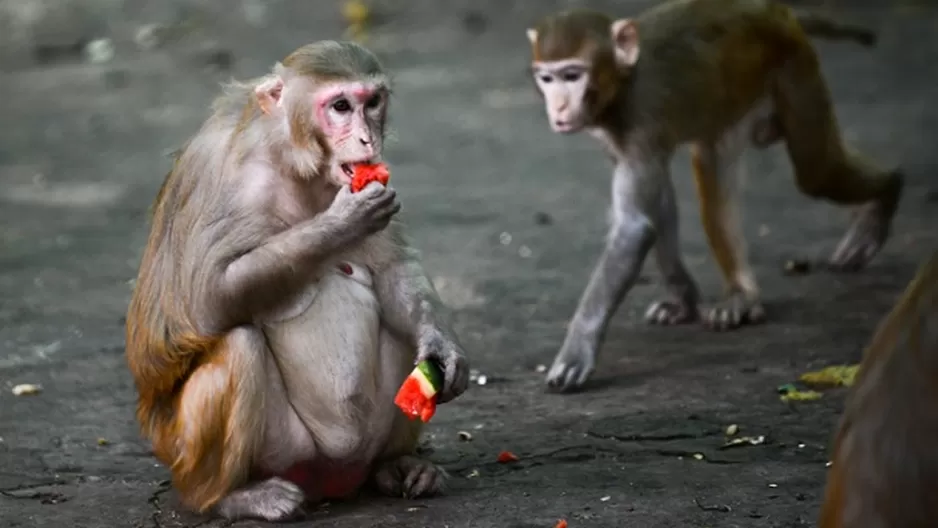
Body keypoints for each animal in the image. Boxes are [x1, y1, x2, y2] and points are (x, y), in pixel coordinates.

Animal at [124, 40, 472, 520]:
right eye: (340, 106)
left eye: (372, 102)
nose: (368, 139)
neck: (292, 160)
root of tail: (334, 481)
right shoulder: (222, 175)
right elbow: (206, 300)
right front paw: (342, 224)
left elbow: (394, 269)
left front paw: (443, 346)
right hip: (259, 452)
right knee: (239, 344)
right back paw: (230, 498)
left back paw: (396, 466)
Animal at [524, 0, 904, 390]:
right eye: (547, 78)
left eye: (572, 75)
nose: (558, 109)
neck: (620, 85)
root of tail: (773, 10)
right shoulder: (620, 141)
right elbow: (658, 208)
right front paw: (684, 300)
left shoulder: (640, 124)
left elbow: (634, 227)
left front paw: (577, 350)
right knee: (713, 163)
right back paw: (742, 296)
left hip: (794, 67)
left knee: (817, 171)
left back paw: (886, 194)